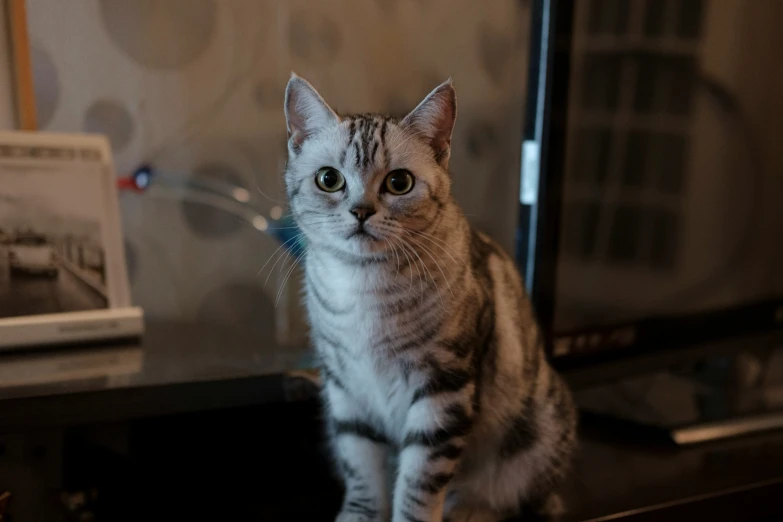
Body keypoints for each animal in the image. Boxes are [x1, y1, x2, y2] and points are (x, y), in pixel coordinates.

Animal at [284, 74, 580, 520]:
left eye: (399, 183)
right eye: (329, 179)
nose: (361, 212)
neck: (364, 287)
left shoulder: (443, 388)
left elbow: (419, 483)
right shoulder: (346, 391)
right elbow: (362, 474)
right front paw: (357, 515)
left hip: (539, 434)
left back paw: (472, 510)